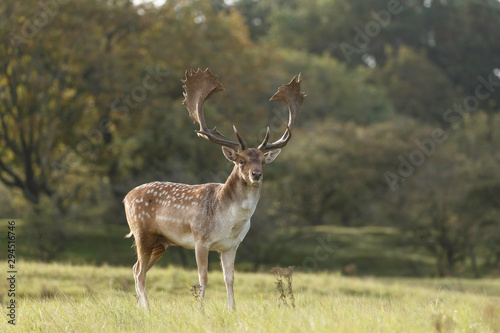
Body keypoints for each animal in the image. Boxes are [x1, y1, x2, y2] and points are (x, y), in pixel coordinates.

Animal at [125, 68, 304, 308]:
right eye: (240, 161)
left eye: (263, 162)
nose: (256, 174)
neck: (229, 222)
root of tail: (126, 197)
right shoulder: (200, 239)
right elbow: (203, 277)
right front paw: (200, 309)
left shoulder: (231, 246)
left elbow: (230, 278)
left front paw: (233, 309)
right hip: (141, 232)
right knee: (139, 271)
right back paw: (146, 308)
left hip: (161, 243)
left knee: (136, 269)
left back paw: (141, 306)